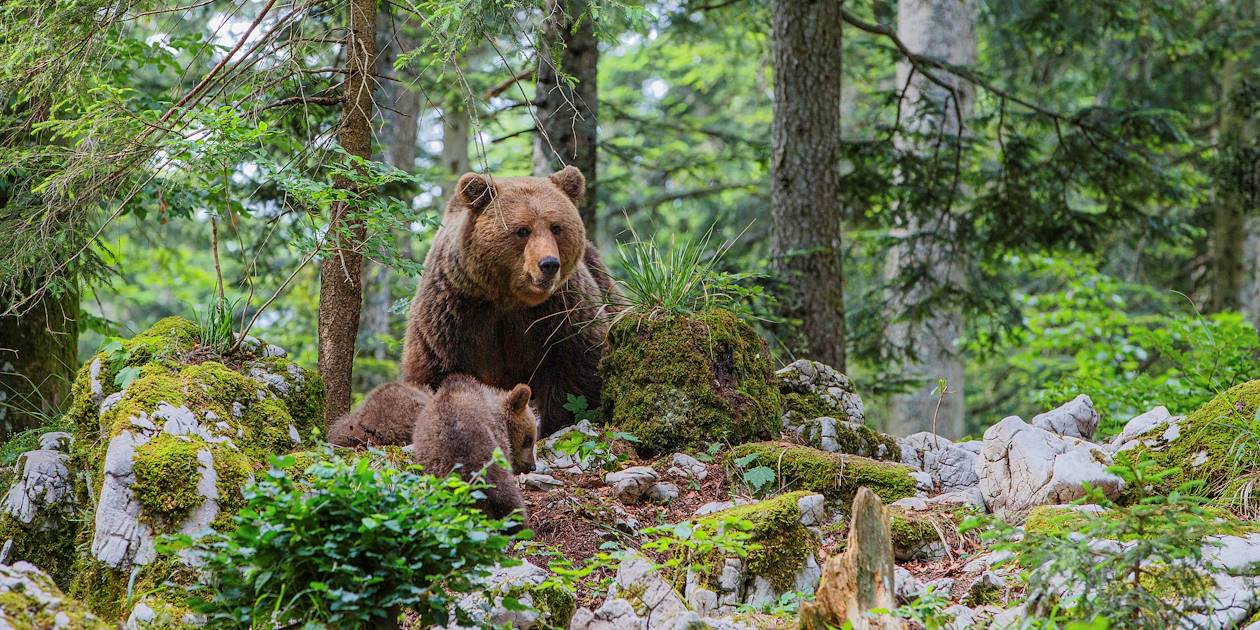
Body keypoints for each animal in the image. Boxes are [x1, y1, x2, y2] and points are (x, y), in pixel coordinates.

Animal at [400, 165, 617, 435]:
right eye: (522, 230)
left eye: (556, 227)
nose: (549, 264)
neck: (509, 298)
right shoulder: (454, 315)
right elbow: (436, 373)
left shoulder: (560, 311)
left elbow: (576, 365)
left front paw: (554, 424)